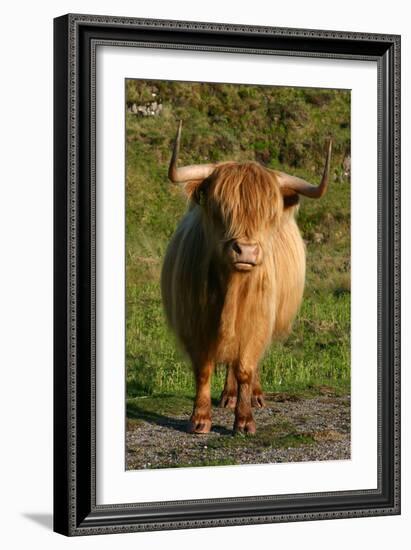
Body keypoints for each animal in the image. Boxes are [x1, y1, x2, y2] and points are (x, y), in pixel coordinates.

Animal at [161, 123, 332, 438]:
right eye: (220, 209)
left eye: (269, 215)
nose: (247, 251)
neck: (232, 288)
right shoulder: (193, 323)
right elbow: (203, 368)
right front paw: (200, 419)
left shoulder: (258, 321)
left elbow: (245, 367)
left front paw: (244, 420)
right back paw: (227, 396)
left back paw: (255, 395)